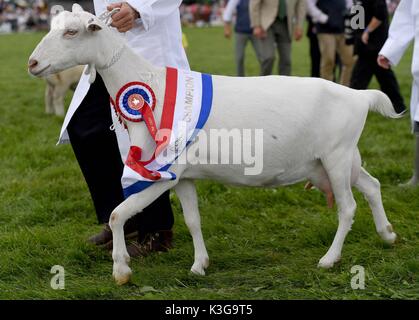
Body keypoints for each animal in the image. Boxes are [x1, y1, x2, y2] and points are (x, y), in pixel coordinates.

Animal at [27, 4, 398, 284]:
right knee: (372, 185)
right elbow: (193, 220)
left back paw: (330, 259)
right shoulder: (183, 176)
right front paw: (199, 265)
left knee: (347, 207)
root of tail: (358, 95)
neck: (152, 85)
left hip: (336, 158)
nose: (32, 63)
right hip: (336, 161)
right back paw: (387, 234)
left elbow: (119, 214)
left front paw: (121, 269)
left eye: (71, 32)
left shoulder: (160, 174)